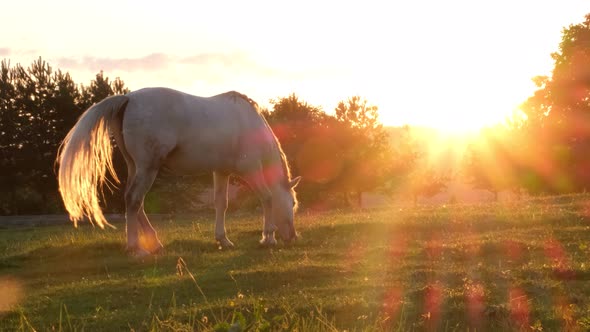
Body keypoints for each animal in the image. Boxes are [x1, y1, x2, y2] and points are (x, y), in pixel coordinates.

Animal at [57, 87, 302, 255]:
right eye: (292, 203)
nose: (293, 237)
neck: (249, 124)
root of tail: (129, 98)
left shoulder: (221, 172)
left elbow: (221, 204)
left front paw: (223, 240)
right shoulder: (250, 169)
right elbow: (267, 197)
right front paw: (268, 238)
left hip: (136, 167)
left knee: (135, 202)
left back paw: (154, 242)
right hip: (148, 168)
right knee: (134, 200)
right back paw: (136, 247)